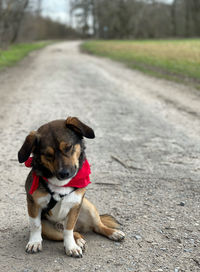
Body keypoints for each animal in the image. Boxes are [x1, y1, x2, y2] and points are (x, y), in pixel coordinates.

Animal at [18, 116, 125, 258]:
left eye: (68, 147)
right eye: (48, 154)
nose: (64, 174)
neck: (61, 184)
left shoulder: (75, 205)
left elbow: (68, 229)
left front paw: (71, 247)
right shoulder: (33, 204)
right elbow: (35, 226)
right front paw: (34, 242)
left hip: (87, 206)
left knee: (95, 226)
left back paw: (113, 233)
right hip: (50, 230)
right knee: (74, 233)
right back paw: (79, 240)